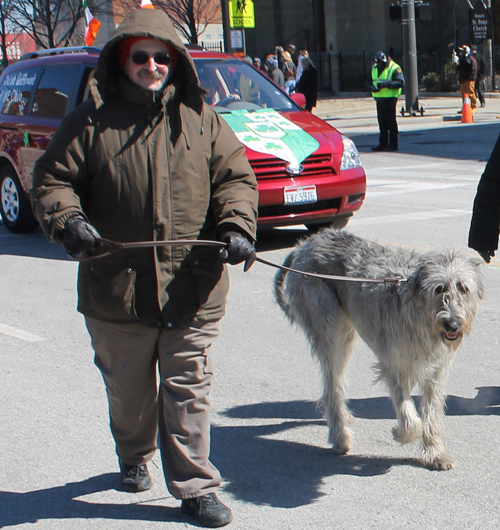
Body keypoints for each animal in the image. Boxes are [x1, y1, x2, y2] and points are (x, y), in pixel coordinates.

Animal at [276, 229, 482, 468]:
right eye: (439, 289)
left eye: (463, 288)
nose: (452, 325)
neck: (421, 316)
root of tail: (306, 244)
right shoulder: (394, 362)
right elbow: (409, 414)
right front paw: (402, 433)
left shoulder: (436, 371)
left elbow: (431, 412)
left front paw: (434, 452)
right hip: (327, 325)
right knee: (331, 384)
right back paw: (340, 436)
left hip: (346, 333)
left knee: (338, 379)